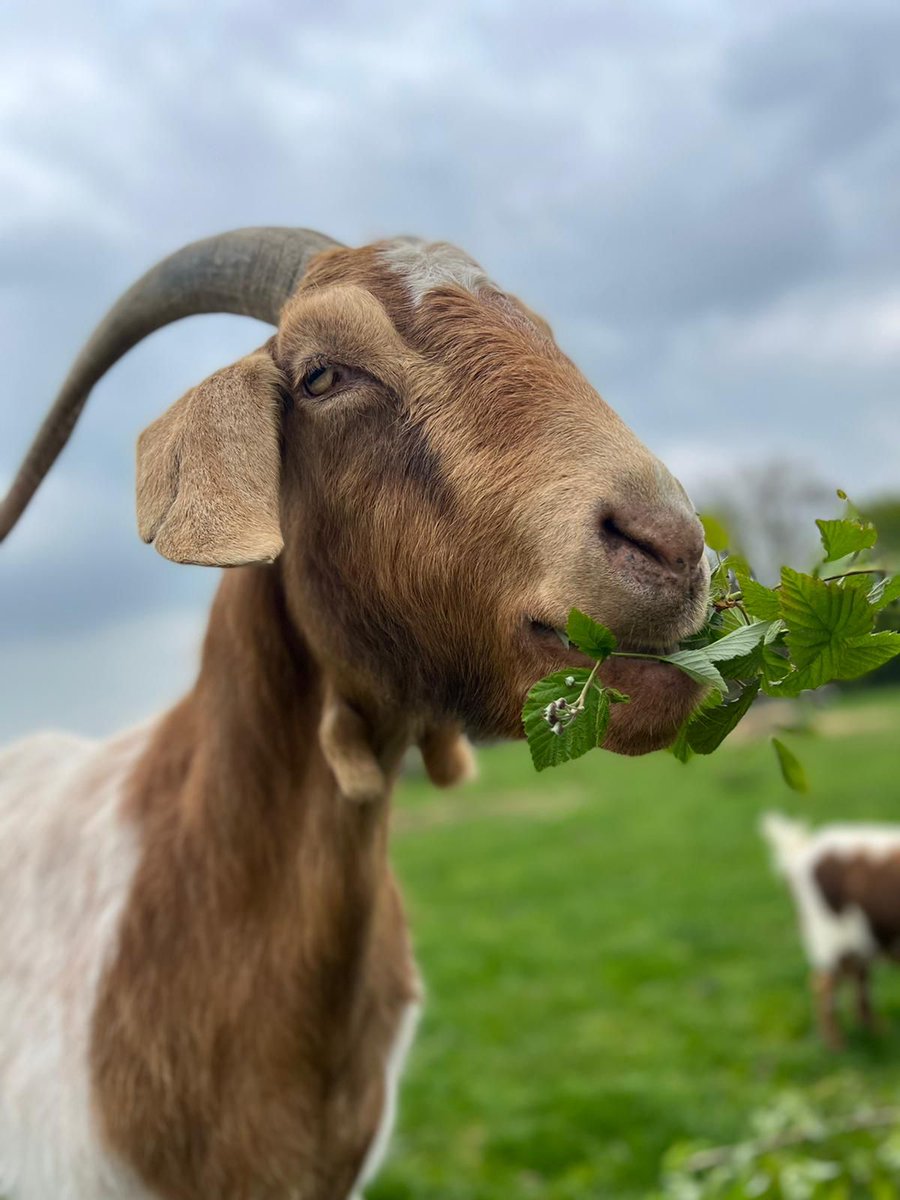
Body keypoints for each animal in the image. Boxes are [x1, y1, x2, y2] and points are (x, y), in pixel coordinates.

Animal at [763, 811, 900, 1046]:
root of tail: (804, 851)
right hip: (830, 936)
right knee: (824, 985)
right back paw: (836, 1044)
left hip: (860, 937)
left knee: (860, 979)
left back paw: (875, 1031)